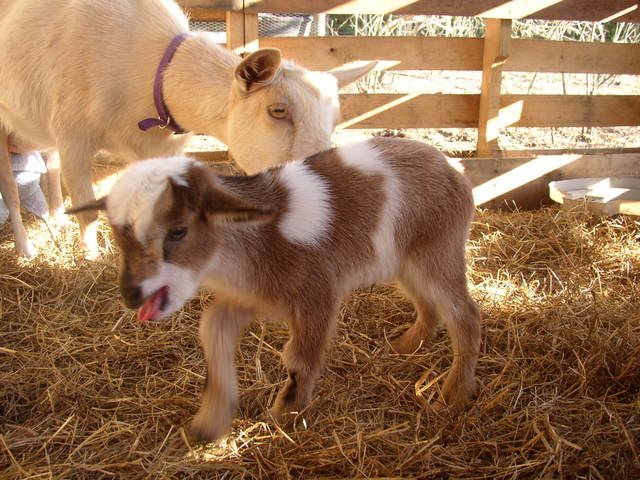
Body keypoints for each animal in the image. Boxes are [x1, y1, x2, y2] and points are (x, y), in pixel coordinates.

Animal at [0, 0, 374, 257]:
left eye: (335, 119)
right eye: (277, 110)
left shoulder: (158, 148)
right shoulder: (74, 137)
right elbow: (88, 210)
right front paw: (91, 259)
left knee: (49, 166)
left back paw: (56, 220)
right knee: (12, 189)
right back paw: (25, 248)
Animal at [70, 136, 482, 442]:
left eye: (178, 231)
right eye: (118, 239)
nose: (131, 295)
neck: (248, 243)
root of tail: (454, 166)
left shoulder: (317, 295)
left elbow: (299, 359)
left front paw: (286, 412)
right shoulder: (249, 298)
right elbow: (212, 328)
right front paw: (209, 423)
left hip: (437, 250)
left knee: (464, 313)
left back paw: (454, 395)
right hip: (405, 259)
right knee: (428, 305)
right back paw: (406, 346)